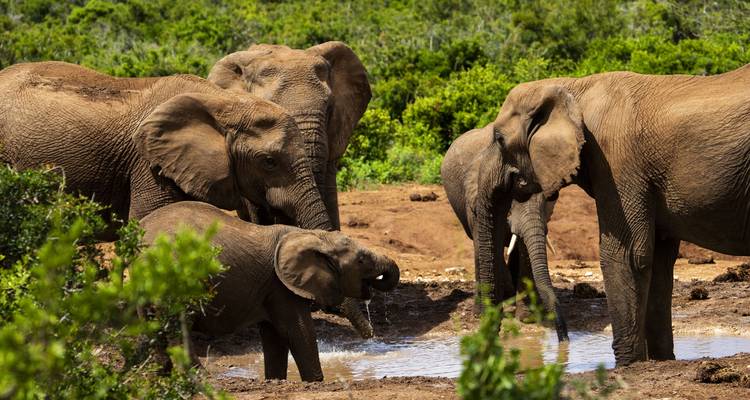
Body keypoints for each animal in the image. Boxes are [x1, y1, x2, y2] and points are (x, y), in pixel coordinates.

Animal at [139, 201, 400, 382]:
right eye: (362, 260)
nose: (371, 336)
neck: (311, 235)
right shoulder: (281, 285)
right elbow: (297, 331)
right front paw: (316, 382)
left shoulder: (271, 288)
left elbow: (274, 336)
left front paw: (275, 381)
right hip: (175, 276)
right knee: (177, 326)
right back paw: (202, 378)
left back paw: (158, 376)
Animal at [441, 125, 568, 341]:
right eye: (509, 207)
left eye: (549, 202)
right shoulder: (475, 205)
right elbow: (488, 245)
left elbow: (524, 251)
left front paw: (526, 318)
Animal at [482, 64, 750, 365]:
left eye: (499, 139)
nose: (562, 344)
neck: (573, 87)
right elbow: (658, 260)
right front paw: (660, 362)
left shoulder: (616, 161)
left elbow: (626, 255)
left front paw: (627, 366)